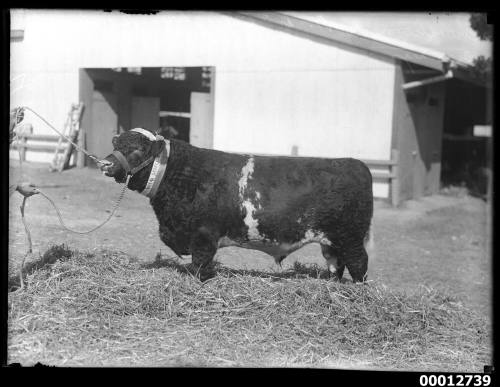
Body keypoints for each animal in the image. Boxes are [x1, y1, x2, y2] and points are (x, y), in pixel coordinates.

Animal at [101, 129, 374, 284]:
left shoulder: (203, 236)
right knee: (336, 265)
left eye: (137, 150)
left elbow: (200, 266)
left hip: (350, 238)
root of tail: (356, 164)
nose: (106, 164)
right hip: (333, 242)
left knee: (359, 265)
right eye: (115, 146)